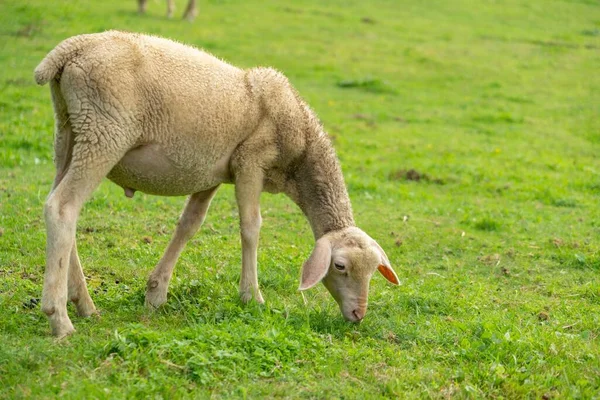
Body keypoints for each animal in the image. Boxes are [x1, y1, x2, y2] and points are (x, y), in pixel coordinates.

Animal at [32, 30, 398, 338]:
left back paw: (85, 306)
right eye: (340, 266)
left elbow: (189, 226)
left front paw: (156, 294)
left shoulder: (211, 175)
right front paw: (252, 296)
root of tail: (72, 48)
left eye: (372, 272)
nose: (359, 314)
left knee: (62, 211)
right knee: (62, 208)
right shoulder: (250, 161)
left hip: (69, 133)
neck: (300, 149)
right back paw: (59, 319)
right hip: (105, 132)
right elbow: (251, 227)